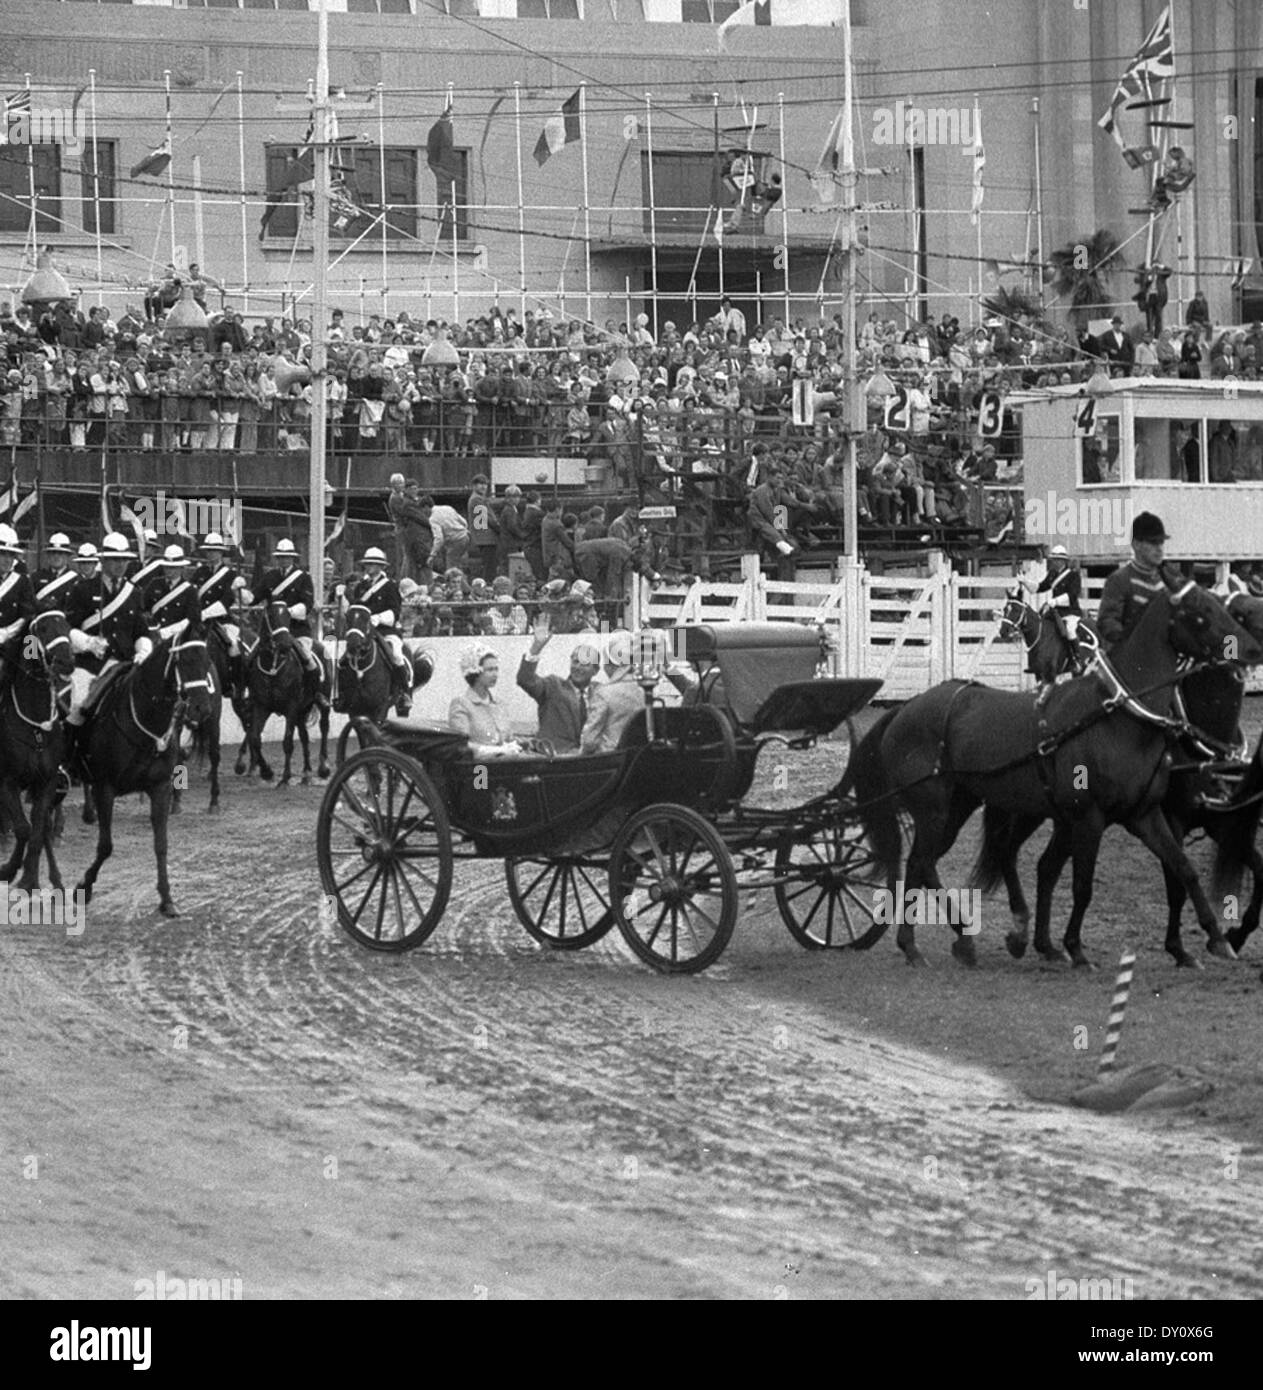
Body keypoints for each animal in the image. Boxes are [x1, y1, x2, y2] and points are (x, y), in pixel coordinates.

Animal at [0, 608, 76, 889]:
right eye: (42, 629)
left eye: (66, 625)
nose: (66, 662)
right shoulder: (6, 782)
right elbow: (23, 829)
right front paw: (10, 869)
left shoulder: (46, 781)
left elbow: (36, 830)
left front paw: (29, 878)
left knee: (42, 828)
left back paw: (55, 878)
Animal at [74, 625, 212, 917]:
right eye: (185, 661)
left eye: (208, 661)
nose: (202, 709)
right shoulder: (106, 788)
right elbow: (106, 846)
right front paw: (84, 886)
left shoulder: (160, 788)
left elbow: (161, 845)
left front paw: (167, 898)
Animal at [244, 597, 330, 789]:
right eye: (271, 616)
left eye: (288, 616)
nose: (284, 644)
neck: (274, 664)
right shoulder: (262, 706)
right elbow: (255, 739)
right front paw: (267, 772)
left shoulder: (291, 707)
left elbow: (288, 742)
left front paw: (284, 778)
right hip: (301, 711)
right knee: (304, 737)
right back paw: (306, 774)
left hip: (320, 703)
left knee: (324, 727)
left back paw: (323, 768)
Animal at [844, 583, 1256, 967]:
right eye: (1200, 612)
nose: (1250, 648)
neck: (1116, 717)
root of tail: (906, 708)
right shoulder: (1089, 818)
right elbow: (1082, 886)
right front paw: (1075, 947)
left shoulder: (1145, 815)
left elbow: (1184, 869)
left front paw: (1215, 938)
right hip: (935, 812)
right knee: (922, 863)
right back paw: (925, 944)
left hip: (959, 809)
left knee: (925, 864)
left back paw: (959, 939)